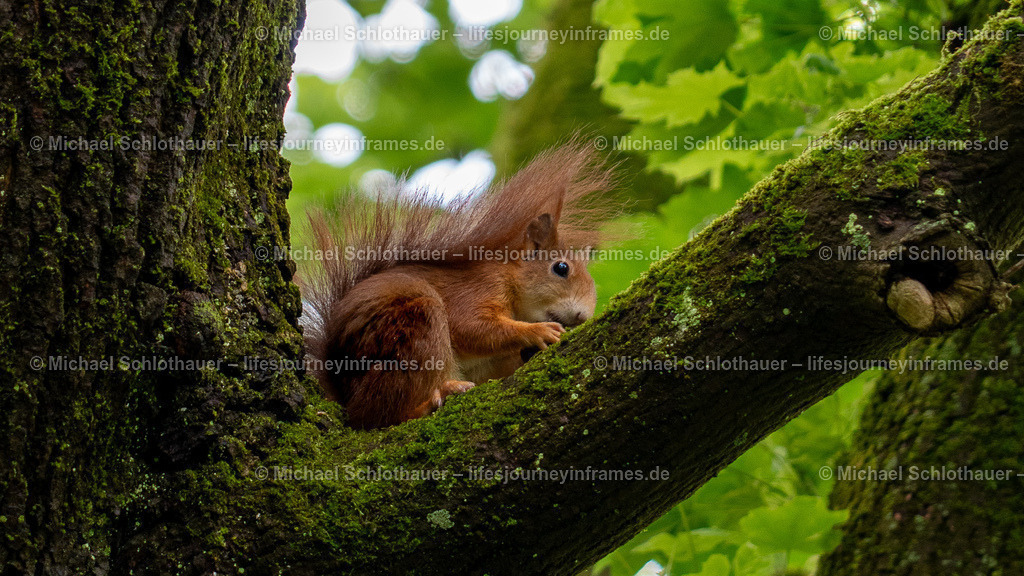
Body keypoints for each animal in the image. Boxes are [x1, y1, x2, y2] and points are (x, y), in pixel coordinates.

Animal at [301, 141, 617, 429]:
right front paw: (537, 331)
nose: (583, 316)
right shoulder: (477, 289)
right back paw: (433, 400)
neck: (510, 281)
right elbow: (472, 327)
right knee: (374, 417)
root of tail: (342, 388)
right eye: (561, 268)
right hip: (413, 329)